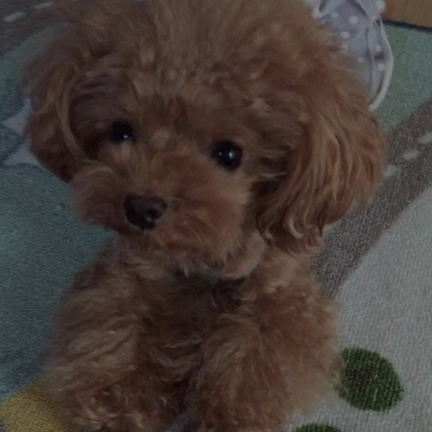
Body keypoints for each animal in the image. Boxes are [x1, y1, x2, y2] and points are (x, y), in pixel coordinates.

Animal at [25, 0, 386, 430]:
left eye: (229, 154)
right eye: (122, 131)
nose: (141, 207)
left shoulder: (280, 290)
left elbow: (259, 352)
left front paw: (229, 414)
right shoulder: (134, 267)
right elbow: (115, 317)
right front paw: (119, 397)